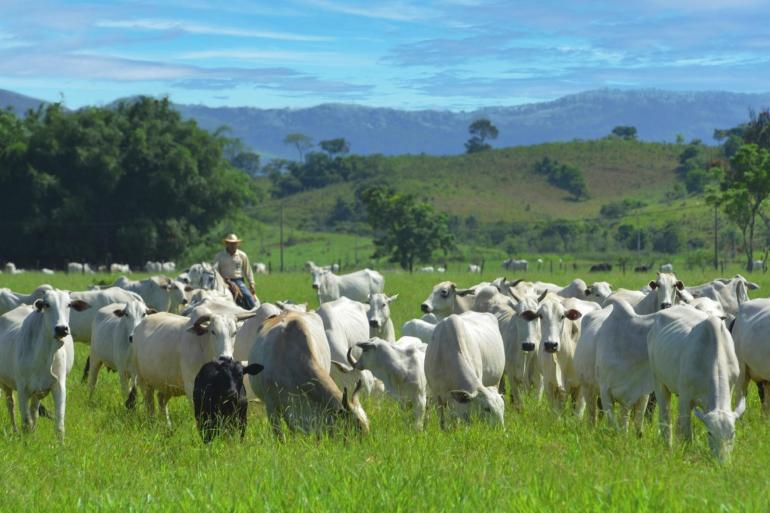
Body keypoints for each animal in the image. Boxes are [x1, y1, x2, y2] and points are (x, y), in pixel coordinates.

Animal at [0, 288, 90, 436]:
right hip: (6, 384)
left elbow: (59, 425)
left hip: (36, 392)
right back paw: (15, 430)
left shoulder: (59, 386)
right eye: (47, 304)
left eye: (69, 305)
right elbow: (26, 422)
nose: (61, 329)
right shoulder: (22, 389)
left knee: (33, 410)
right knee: (11, 405)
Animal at [644, 306, 740, 458]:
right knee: (666, 417)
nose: (723, 461)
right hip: (658, 380)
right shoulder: (685, 397)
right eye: (710, 433)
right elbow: (687, 433)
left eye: (733, 433)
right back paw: (668, 446)